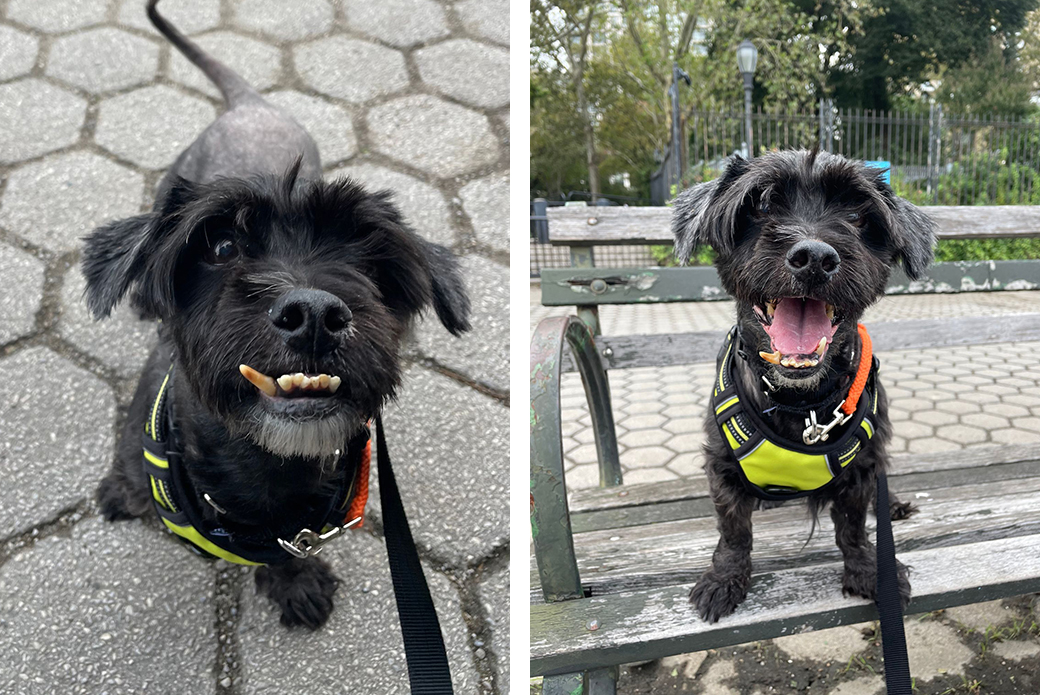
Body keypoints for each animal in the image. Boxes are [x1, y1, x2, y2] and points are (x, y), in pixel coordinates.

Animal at [83, 1, 470, 628]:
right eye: (220, 246)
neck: (263, 469)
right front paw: (122, 490)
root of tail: (253, 105)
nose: (314, 313)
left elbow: (289, 554)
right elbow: (128, 470)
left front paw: (295, 582)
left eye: (370, 261)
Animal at [669, 150, 940, 624]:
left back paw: (892, 504)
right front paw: (724, 580)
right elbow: (733, 532)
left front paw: (870, 570)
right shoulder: (721, 466)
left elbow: (853, 526)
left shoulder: (861, 468)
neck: (800, 401)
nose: (814, 256)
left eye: (858, 214)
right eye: (760, 204)